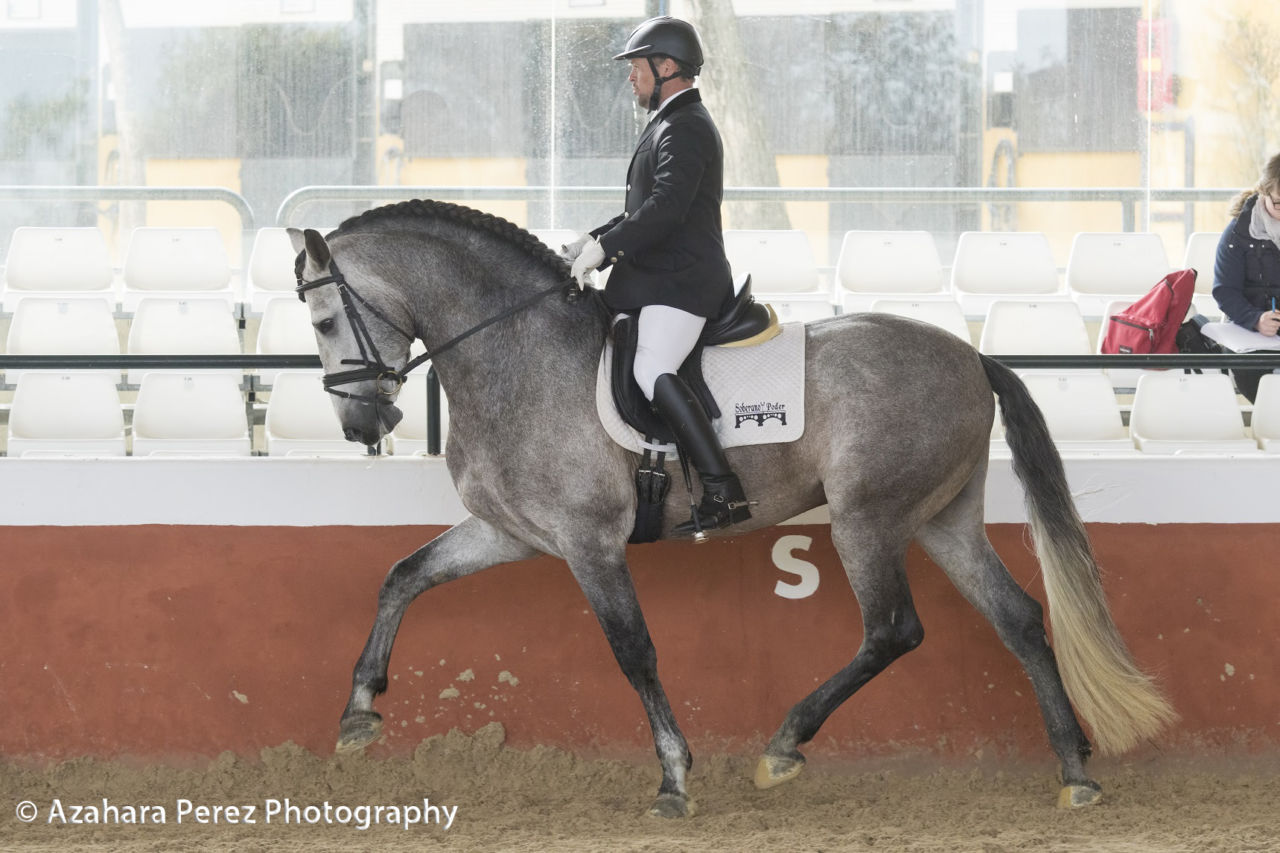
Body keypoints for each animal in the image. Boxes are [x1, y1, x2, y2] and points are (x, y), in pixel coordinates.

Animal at [285, 199, 1172, 819]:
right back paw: (1075, 770)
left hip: (868, 519)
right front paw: (359, 712)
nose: (363, 426)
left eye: (325, 319)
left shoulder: (587, 542)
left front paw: (675, 778)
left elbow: (635, 651)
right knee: (1017, 616)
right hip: (940, 517)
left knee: (893, 629)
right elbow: (403, 575)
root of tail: (972, 353)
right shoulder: (513, 532)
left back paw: (784, 746)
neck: (517, 354)